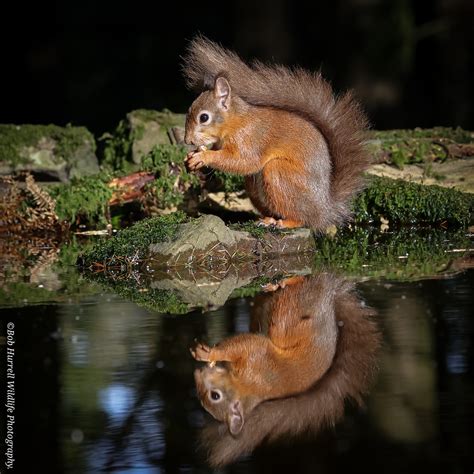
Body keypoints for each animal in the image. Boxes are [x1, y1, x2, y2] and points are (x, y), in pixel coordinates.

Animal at [182, 36, 370, 231]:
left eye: (204, 117)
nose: (187, 140)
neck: (234, 122)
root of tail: (324, 211)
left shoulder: (249, 138)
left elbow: (243, 161)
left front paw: (204, 157)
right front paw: (192, 157)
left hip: (278, 174)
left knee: (302, 219)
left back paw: (283, 223)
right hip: (254, 187)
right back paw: (267, 219)